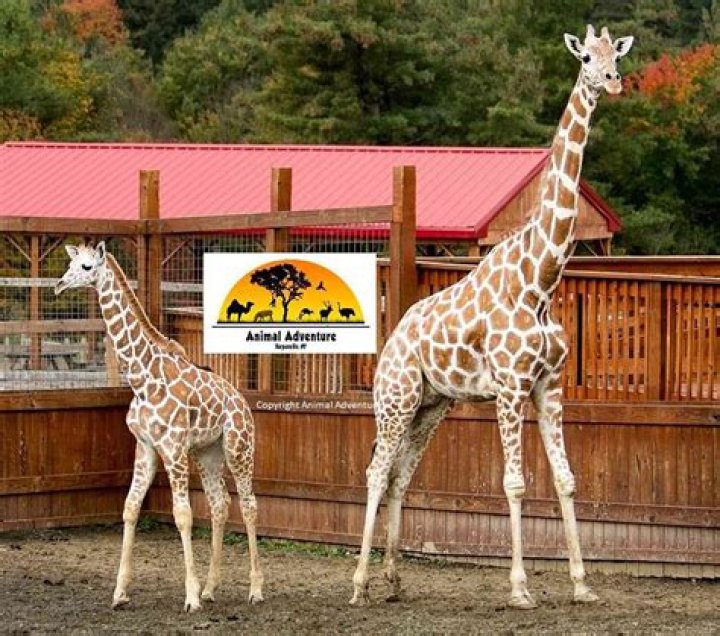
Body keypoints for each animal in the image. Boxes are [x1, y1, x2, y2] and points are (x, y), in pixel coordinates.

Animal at [55, 242, 264, 613]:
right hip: (207, 454)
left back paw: (254, 590)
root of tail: (241, 402)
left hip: (239, 448)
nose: (60, 284)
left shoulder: (173, 448)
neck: (142, 378)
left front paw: (190, 597)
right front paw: (120, 593)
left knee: (249, 505)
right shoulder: (146, 447)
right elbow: (130, 508)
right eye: (70, 263)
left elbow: (182, 514)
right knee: (220, 504)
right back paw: (211, 588)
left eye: (87, 266)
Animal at [350, 25, 633, 609]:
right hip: (394, 399)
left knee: (400, 474)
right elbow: (515, 483)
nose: (613, 81)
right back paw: (359, 584)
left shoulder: (550, 386)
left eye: (616, 54)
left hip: (430, 405)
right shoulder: (510, 386)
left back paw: (392, 579)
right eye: (585, 57)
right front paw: (521, 588)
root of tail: (393, 338)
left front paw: (582, 585)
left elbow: (567, 480)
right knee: (375, 471)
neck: (541, 279)